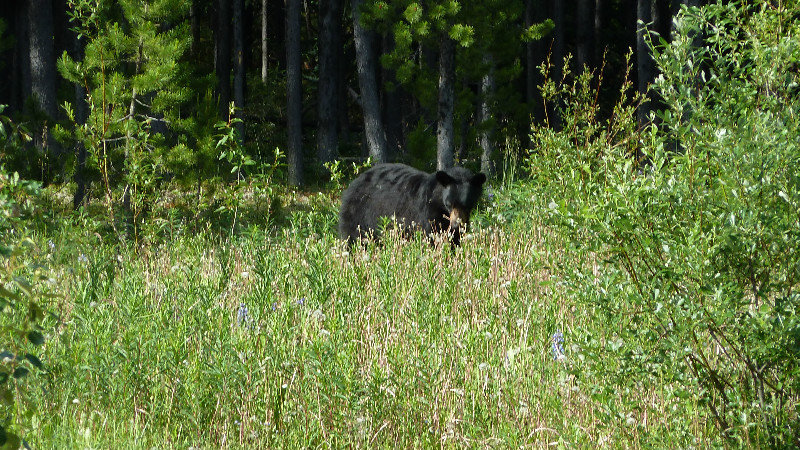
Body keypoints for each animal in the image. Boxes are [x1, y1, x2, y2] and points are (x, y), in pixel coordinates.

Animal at [340, 163, 488, 244]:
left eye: (468, 204)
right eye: (449, 203)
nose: (457, 224)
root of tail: (354, 182)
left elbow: (455, 239)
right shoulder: (427, 212)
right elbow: (431, 235)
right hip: (358, 213)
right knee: (353, 237)